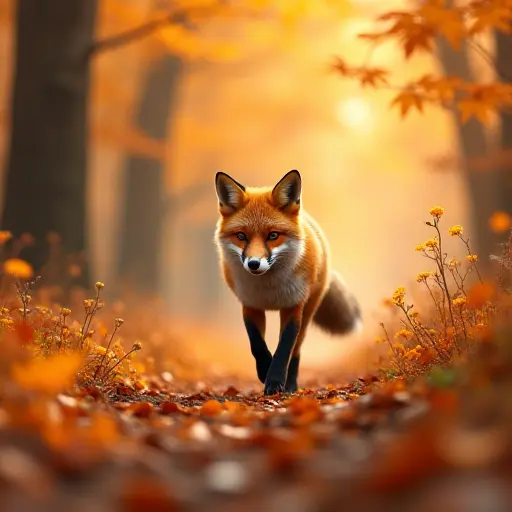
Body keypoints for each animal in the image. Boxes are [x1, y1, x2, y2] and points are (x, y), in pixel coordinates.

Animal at [212, 170, 360, 394]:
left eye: (273, 235)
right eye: (241, 236)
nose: (254, 264)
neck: (269, 289)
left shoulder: (293, 305)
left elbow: (285, 348)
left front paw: (274, 380)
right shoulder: (250, 304)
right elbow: (256, 344)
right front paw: (264, 370)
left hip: (308, 311)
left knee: (297, 350)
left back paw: (291, 385)